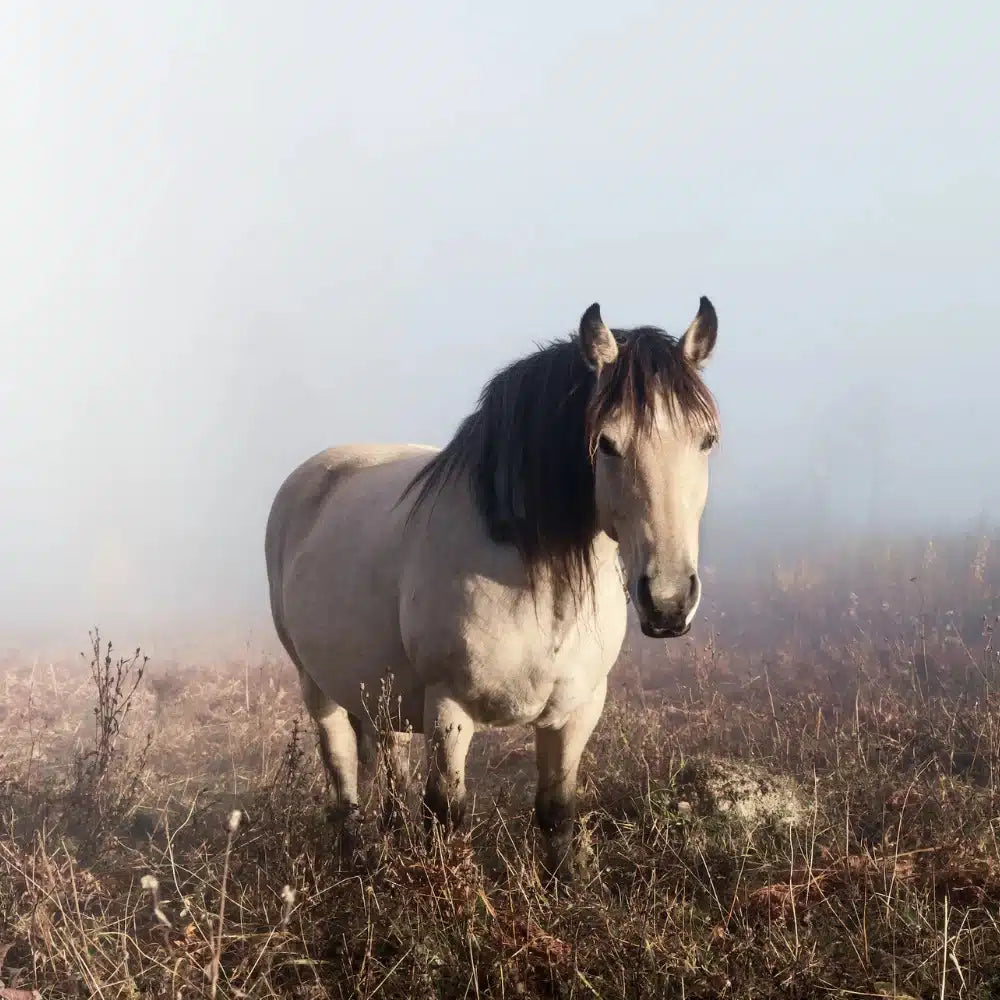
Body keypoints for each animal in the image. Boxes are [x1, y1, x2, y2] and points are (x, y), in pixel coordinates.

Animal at [264, 296, 720, 876]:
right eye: (607, 443)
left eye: (706, 440)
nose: (667, 601)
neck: (535, 583)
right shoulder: (449, 709)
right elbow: (446, 814)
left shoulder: (576, 712)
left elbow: (556, 810)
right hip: (316, 686)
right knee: (342, 769)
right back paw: (356, 858)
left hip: (380, 692)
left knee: (389, 758)